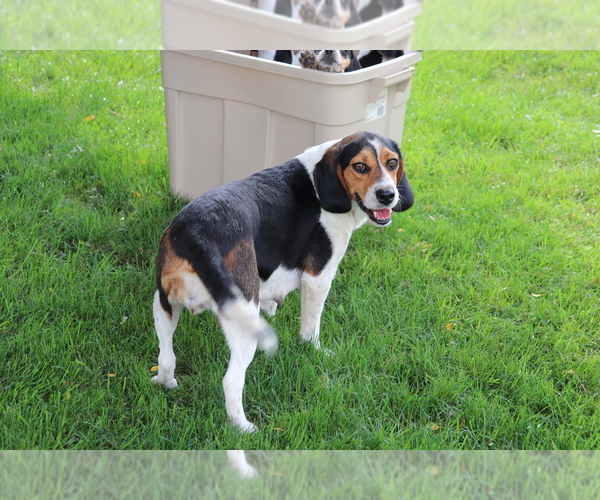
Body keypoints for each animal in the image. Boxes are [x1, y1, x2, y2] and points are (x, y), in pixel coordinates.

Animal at [152, 131, 412, 432]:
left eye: (392, 163)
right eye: (360, 166)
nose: (388, 195)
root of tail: (197, 234)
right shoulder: (318, 278)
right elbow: (311, 328)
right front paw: (315, 351)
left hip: (162, 303)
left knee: (166, 357)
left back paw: (166, 383)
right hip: (242, 317)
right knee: (231, 380)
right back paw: (244, 428)